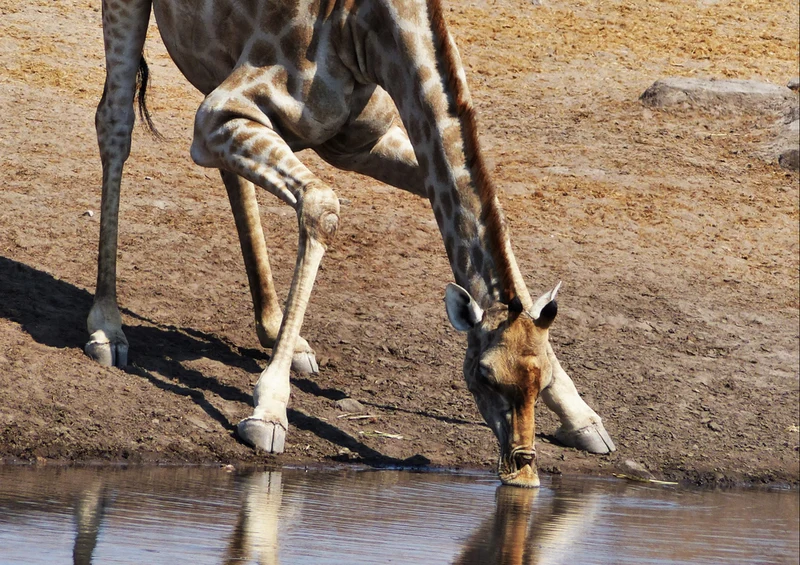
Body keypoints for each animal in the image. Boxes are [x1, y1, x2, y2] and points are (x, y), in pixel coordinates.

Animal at [88, 0, 615, 487]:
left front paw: (583, 418)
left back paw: (278, 330)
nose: (522, 470)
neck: (366, 32)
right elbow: (321, 206)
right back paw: (107, 330)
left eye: (541, 378)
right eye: (484, 375)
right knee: (114, 121)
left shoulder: (361, 142)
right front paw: (268, 413)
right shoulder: (221, 113)